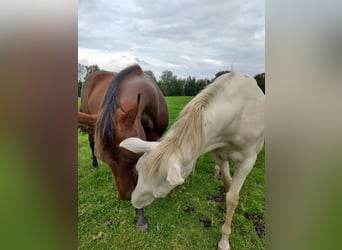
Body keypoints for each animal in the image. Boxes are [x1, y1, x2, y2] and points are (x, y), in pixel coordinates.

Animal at [78, 64, 168, 230]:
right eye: (105, 160)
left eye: (135, 158)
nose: (125, 197)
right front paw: (140, 215)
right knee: (91, 142)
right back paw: (94, 164)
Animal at [119, 71, 264, 249]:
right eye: (138, 171)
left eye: (160, 191)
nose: (135, 202)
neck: (237, 115)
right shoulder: (219, 153)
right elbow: (227, 184)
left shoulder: (247, 161)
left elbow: (232, 198)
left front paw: (224, 240)